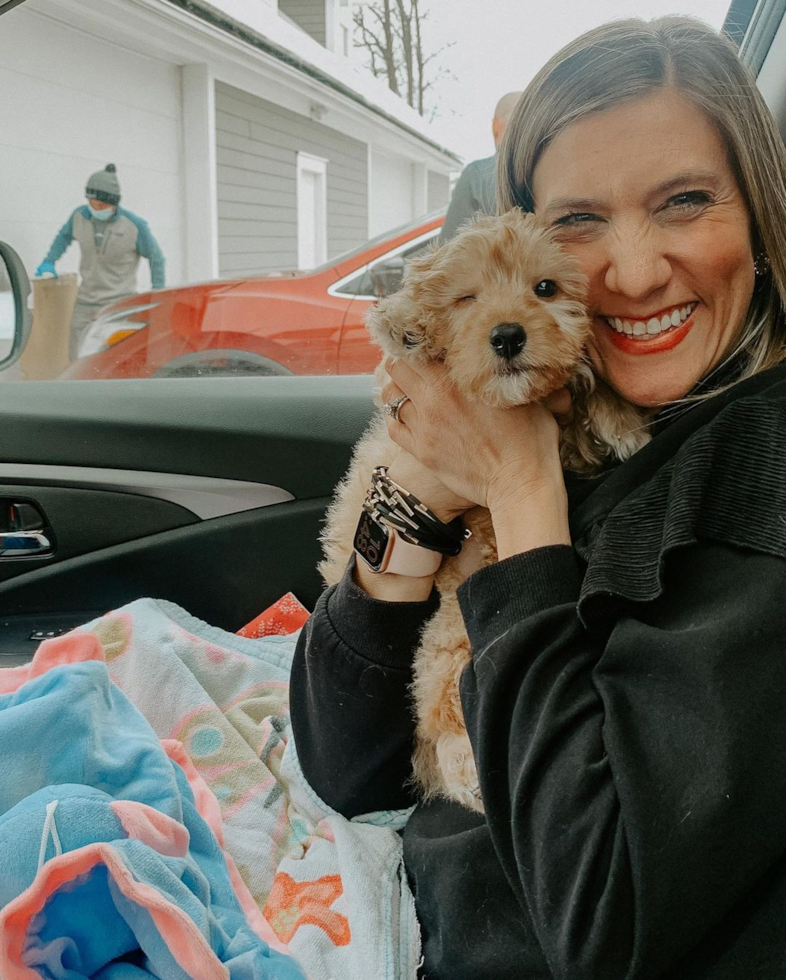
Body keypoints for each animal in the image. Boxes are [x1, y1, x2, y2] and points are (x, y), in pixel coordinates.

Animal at [318, 212, 648, 812]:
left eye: (546, 288)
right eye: (465, 298)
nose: (508, 335)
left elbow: (582, 389)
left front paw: (620, 417)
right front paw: (406, 322)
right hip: (445, 638)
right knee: (438, 708)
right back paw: (465, 770)